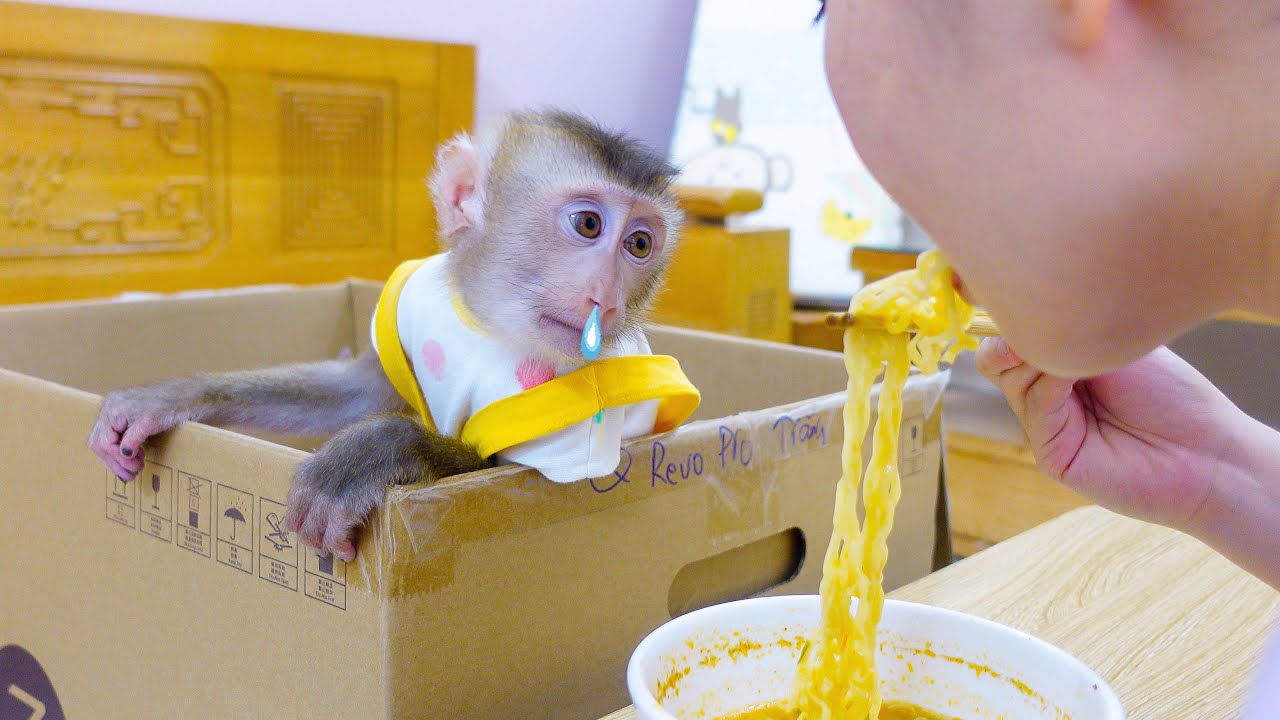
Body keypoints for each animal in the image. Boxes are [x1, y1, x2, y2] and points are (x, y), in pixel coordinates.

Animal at [88, 109, 694, 563]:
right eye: (589, 225)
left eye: (640, 245)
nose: (606, 298)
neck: (489, 321)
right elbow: (355, 392)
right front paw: (170, 397)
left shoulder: (575, 417)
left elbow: (510, 481)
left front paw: (372, 454)